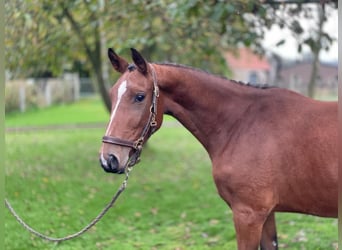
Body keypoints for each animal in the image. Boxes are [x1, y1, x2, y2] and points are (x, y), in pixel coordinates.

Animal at [100, 47, 338, 249]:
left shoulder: (248, 214)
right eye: (112, 94)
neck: (243, 123)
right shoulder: (266, 214)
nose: (108, 159)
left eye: (139, 96)